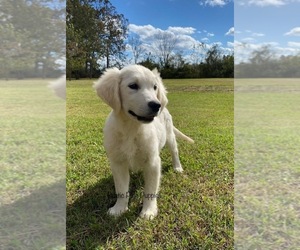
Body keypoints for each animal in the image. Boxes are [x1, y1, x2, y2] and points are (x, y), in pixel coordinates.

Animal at [93, 64, 195, 219]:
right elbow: (121, 189)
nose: (156, 105)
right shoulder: (118, 162)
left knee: (175, 151)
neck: (132, 129)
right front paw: (119, 208)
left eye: (154, 87)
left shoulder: (153, 162)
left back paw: (177, 167)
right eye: (133, 86)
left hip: (169, 135)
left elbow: (150, 189)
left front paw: (148, 211)